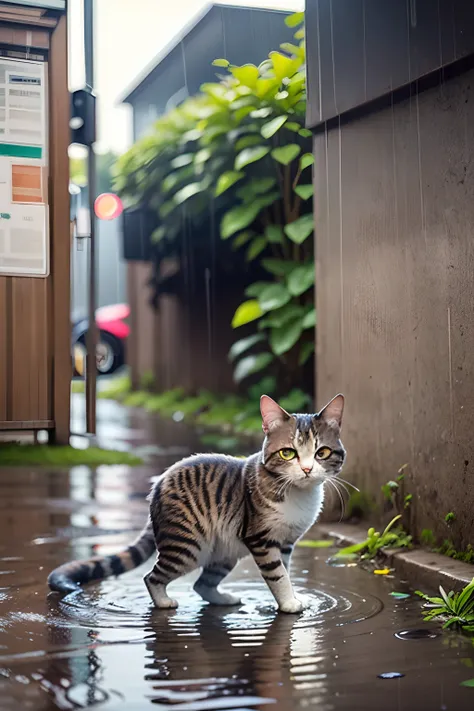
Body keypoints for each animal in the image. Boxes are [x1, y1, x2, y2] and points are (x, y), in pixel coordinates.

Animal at [48, 392, 344, 616]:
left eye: (322, 452)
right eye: (287, 453)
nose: (307, 469)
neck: (297, 494)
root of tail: (158, 483)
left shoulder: (286, 543)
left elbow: (285, 571)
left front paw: (290, 597)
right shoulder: (261, 539)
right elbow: (277, 574)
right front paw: (289, 603)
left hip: (224, 551)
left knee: (202, 584)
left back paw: (225, 599)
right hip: (187, 545)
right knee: (153, 576)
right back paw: (163, 601)